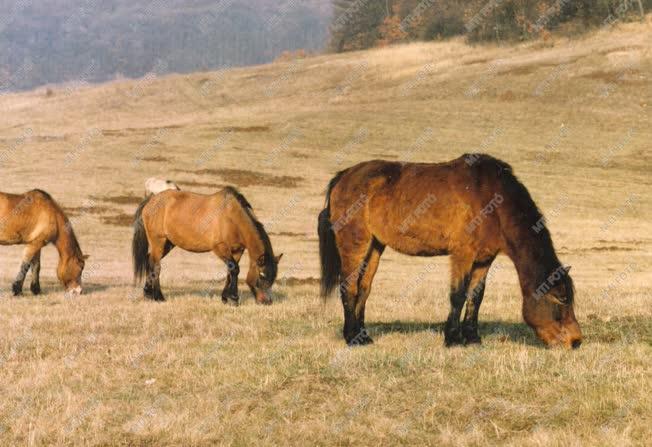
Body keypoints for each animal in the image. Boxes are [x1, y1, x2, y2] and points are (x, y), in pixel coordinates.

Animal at [133, 187, 282, 306]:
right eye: (262, 275)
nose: (267, 302)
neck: (231, 217)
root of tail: (151, 200)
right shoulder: (220, 248)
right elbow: (234, 269)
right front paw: (234, 299)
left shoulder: (237, 251)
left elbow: (231, 271)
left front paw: (225, 298)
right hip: (158, 241)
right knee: (156, 266)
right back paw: (158, 297)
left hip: (168, 244)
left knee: (149, 261)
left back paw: (149, 294)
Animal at [318, 154, 584, 350]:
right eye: (562, 299)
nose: (576, 341)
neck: (493, 201)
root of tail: (343, 176)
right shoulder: (462, 255)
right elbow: (458, 295)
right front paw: (453, 338)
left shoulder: (484, 259)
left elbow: (476, 296)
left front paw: (473, 338)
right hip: (354, 244)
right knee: (349, 287)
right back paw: (351, 338)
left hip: (375, 245)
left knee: (364, 288)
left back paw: (362, 335)